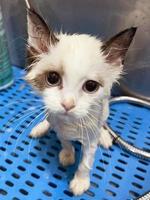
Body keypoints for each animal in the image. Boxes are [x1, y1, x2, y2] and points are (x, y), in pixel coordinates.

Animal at [25, 5, 136, 195]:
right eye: (52, 78)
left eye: (91, 86)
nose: (67, 104)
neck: (71, 125)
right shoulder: (59, 127)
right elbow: (65, 142)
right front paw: (68, 155)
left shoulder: (90, 139)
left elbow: (86, 163)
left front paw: (80, 181)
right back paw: (41, 127)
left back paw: (104, 136)